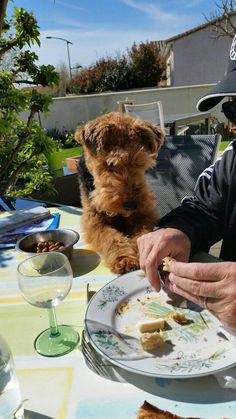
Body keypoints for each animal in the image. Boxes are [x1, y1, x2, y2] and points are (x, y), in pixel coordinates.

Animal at [75, 111, 164, 276]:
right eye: (110, 164)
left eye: (139, 162)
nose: (131, 205)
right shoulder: (93, 221)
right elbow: (110, 237)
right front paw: (125, 259)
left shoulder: (145, 213)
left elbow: (143, 232)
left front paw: (143, 250)